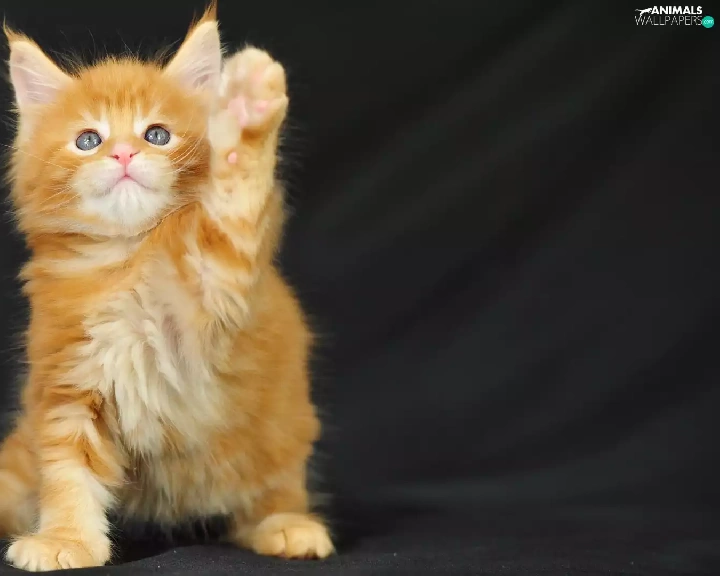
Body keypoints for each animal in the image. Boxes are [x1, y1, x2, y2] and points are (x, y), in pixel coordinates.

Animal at [0, 2, 334, 571]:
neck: (126, 261)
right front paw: (67, 539)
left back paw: (287, 525)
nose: (123, 155)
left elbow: (235, 194)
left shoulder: (217, 279)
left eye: (157, 135)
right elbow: (67, 474)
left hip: (282, 427)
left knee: (274, 490)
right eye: (88, 141)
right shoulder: (69, 382)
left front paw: (246, 104)